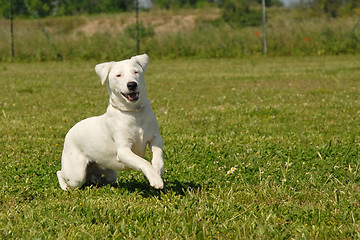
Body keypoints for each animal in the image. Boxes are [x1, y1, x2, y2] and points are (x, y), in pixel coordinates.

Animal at [57, 54, 164, 191]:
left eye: (136, 72)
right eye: (118, 75)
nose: (132, 84)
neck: (133, 112)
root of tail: (70, 131)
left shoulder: (155, 138)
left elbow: (158, 153)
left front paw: (158, 169)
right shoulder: (123, 150)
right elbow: (143, 161)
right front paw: (155, 179)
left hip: (110, 174)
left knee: (96, 178)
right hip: (76, 175)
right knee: (61, 173)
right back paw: (64, 186)